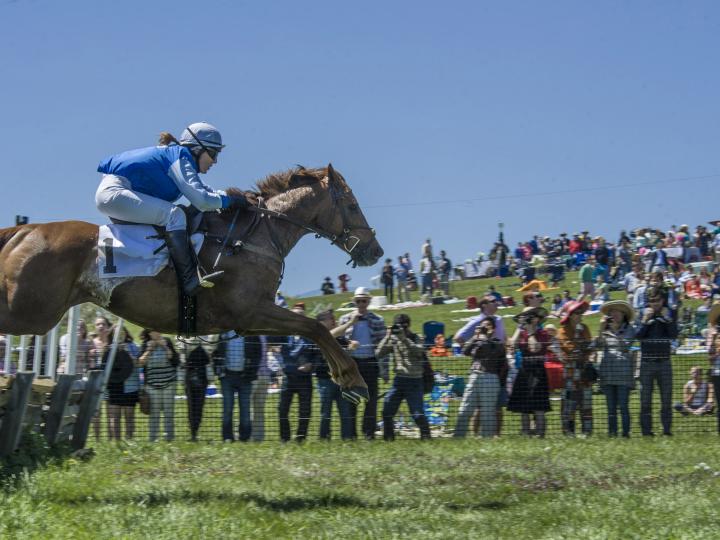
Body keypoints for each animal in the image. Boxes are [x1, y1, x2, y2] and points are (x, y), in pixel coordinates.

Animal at [0, 163, 382, 400]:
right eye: (351, 204)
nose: (374, 251)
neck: (254, 236)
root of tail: (23, 230)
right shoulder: (251, 311)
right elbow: (315, 327)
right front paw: (353, 380)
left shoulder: (247, 320)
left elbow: (313, 329)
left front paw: (346, 376)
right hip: (32, 311)